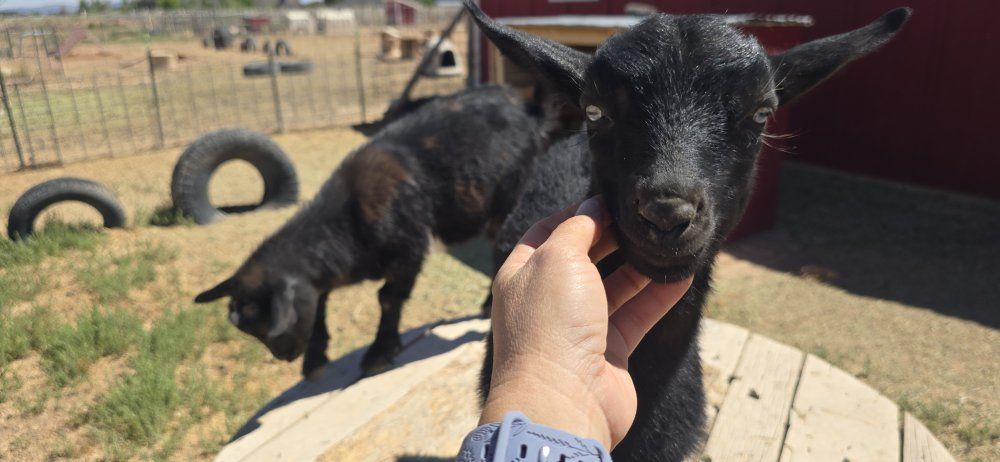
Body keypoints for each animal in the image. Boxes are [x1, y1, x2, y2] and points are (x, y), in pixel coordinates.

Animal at [195, 85, 548, 379]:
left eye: (272, 324)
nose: (284, 357)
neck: (347, 224)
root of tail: (525, 111)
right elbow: (320, 302)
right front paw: (315, 359)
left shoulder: (408, 248)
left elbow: (388, 299)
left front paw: (378, 353)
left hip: (509, 197)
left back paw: (489, 303)